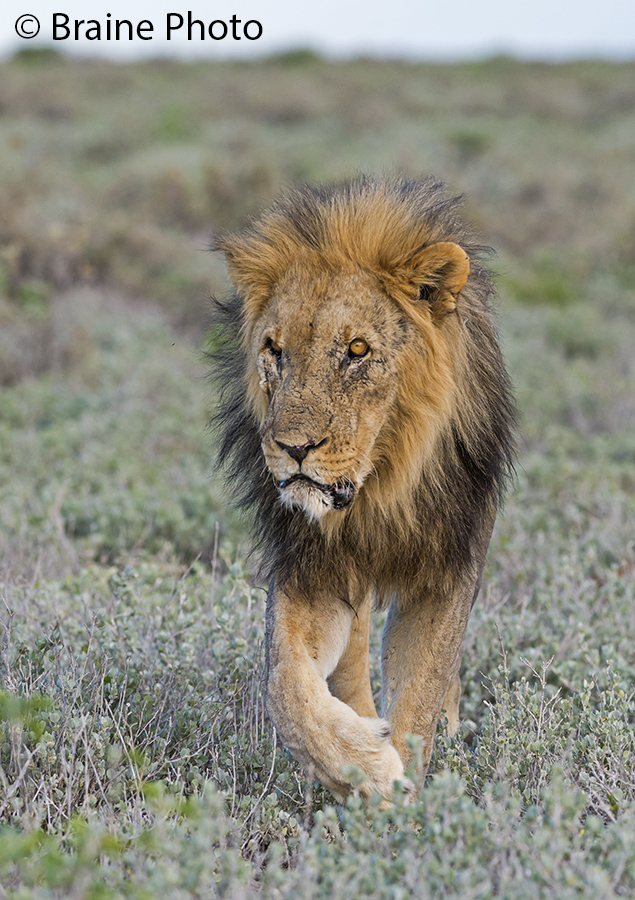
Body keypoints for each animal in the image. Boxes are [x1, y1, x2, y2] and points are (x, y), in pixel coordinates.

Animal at [210, 176, 516, 800]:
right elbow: (287, 685)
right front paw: (363, 767)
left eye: (356, 351)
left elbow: (422, 692)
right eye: (274, 349)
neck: (378, 491)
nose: (294, 448)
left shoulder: (448, 571)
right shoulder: (312, 570)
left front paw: (402, 796)